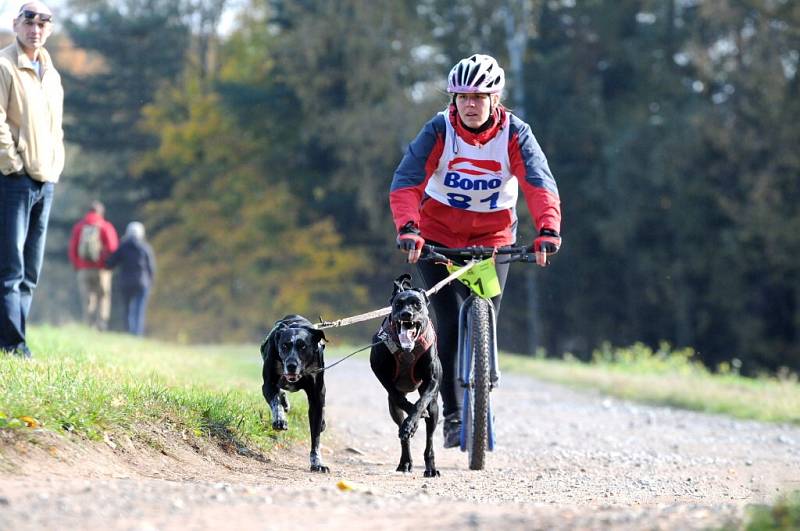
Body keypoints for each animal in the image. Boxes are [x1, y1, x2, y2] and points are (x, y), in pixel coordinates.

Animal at [260, 314, 328, 472]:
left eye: (303, 346)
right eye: (284, 345)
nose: (291, 365)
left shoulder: (317, 397)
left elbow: (315, 437)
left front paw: (317, 462)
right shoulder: (268, 385)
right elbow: (275, 402)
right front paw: (280, 419)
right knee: (280, 394)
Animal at [370, 274, 440, 478]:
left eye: (417, 304)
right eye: (399, 304)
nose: (406, 314)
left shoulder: (432, 380)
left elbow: (421, 402)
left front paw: (413, 420)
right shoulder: (379, 370)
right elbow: (397, 396)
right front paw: (410, 422)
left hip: (435, 408)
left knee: (430, 438)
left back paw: (431, 467)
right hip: (393, 409)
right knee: (400, 422)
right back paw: (405, 461)